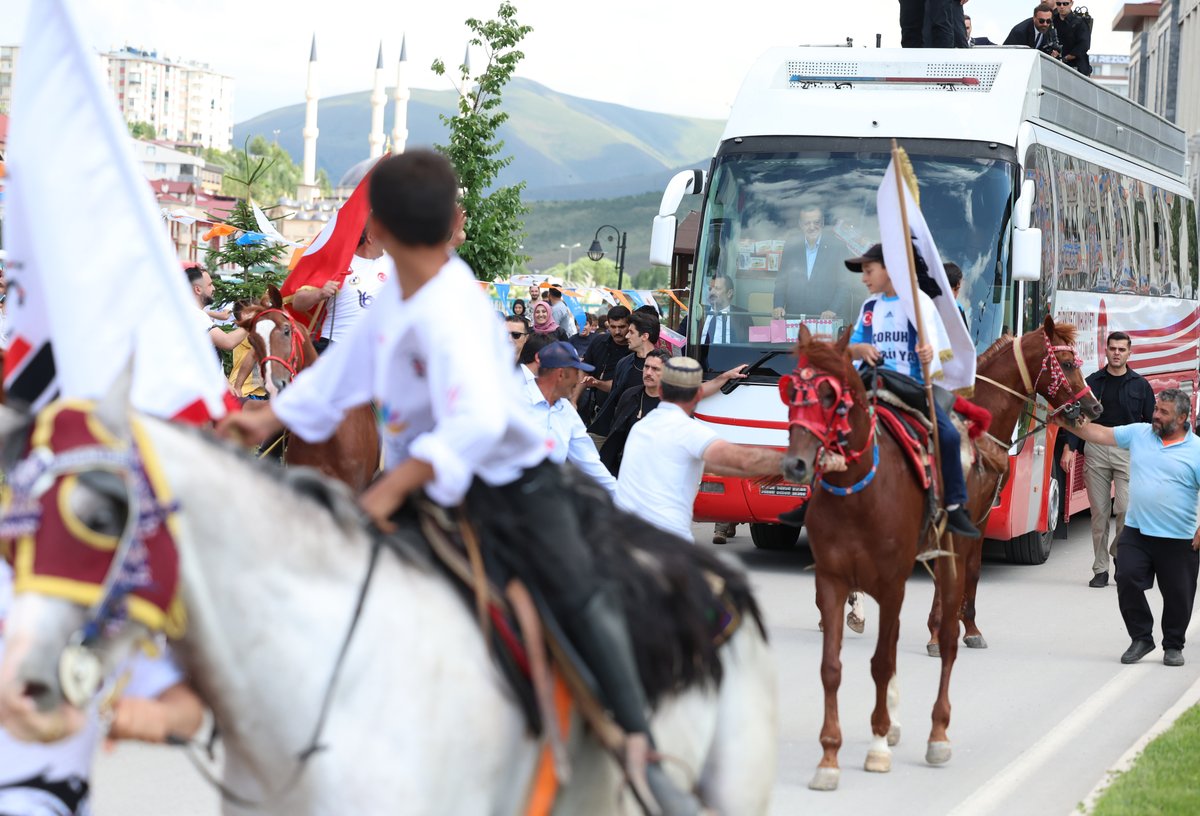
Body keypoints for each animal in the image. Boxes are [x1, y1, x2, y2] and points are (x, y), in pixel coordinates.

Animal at [926, 314, 1104, 652]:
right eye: (1066, 363)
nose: (1094, 407)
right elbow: (949, 569)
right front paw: (937, 632)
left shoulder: (981, 514)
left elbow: (971, 568)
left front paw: (970, 628)